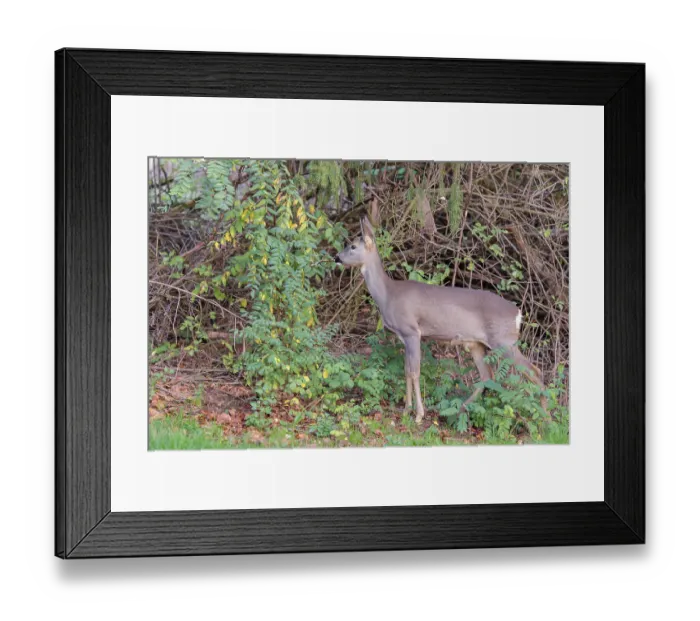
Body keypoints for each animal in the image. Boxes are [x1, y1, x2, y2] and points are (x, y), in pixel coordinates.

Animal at [335, 216, 548, 424]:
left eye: (352, 246)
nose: (336, 258)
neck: (388, 295)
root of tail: (517, 313)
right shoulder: (404, 336)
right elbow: (406, 370)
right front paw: (406, 410)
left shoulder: (412, 331)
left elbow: (415, 371)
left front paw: (419, 414)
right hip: (477, 344)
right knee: (487, 375)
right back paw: (460, 410)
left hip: (504, 341)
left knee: (535, 372)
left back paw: (545, 420)